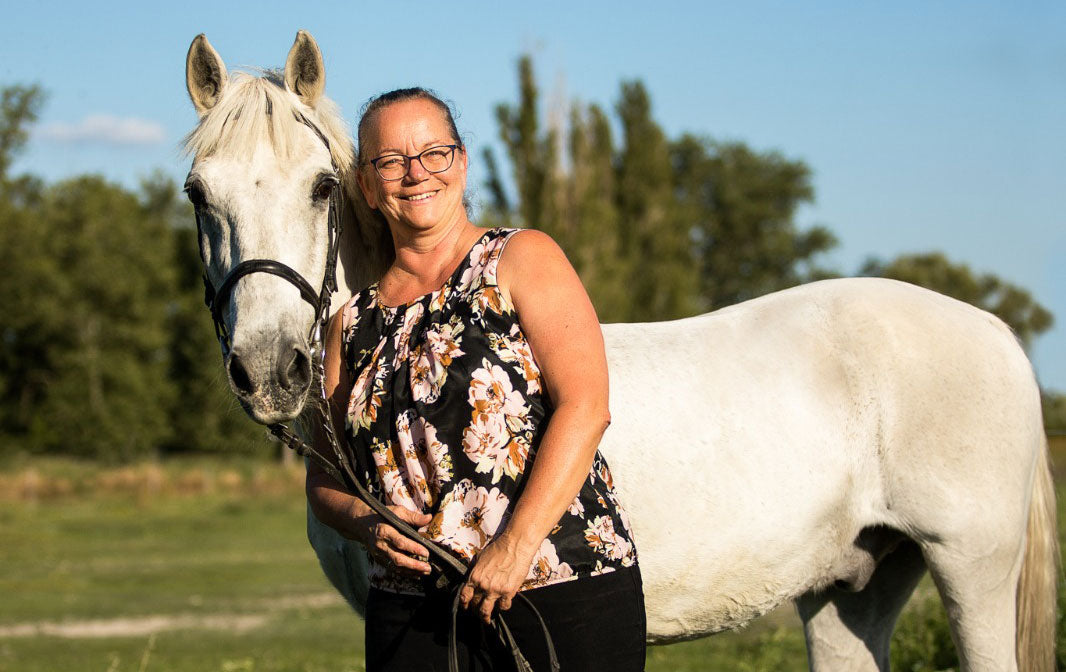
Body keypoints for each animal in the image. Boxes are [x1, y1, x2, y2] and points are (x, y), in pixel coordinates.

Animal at [183, 31, 1057, 672]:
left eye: (323, 186)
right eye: (198, 194)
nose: (270, 369)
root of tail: (992, 329)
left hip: (972, 571)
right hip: (852, 586)